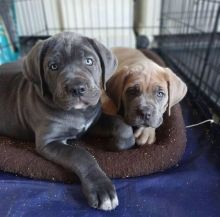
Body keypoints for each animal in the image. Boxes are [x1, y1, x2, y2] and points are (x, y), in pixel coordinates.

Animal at [0, 31, 132, 210]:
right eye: (53, 66)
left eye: (89, 61)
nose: (77, 88)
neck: (78, 112)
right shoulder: (49, 142)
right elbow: (81, 155)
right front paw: (101, 188)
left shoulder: (93, 122)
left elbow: (122, 125)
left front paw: (116, 144)